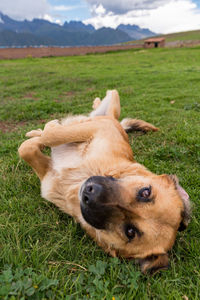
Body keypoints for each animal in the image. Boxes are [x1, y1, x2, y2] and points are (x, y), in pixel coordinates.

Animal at [18, 89, 191, 274]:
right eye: (145, 192)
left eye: (130, 231)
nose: (89, 191)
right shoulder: (101, 128)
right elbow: (46, 138)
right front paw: (49, 127)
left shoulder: (47, 176)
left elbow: (28, 147)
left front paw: (46, 131)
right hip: (112, 103)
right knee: (105, 104)